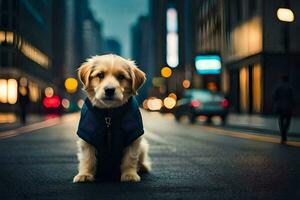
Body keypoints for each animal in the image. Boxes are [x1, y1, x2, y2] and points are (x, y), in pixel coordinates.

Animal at [73, 54, 152, 182]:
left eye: (121, 77)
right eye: (100, 75)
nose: (109, 90)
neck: (109, 113)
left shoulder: (133, 138)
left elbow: (130, 158)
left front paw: (129, 174)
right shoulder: (87, 139)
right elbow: (87, 158)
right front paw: (85, 174)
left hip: (143, 145)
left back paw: (142, 167)